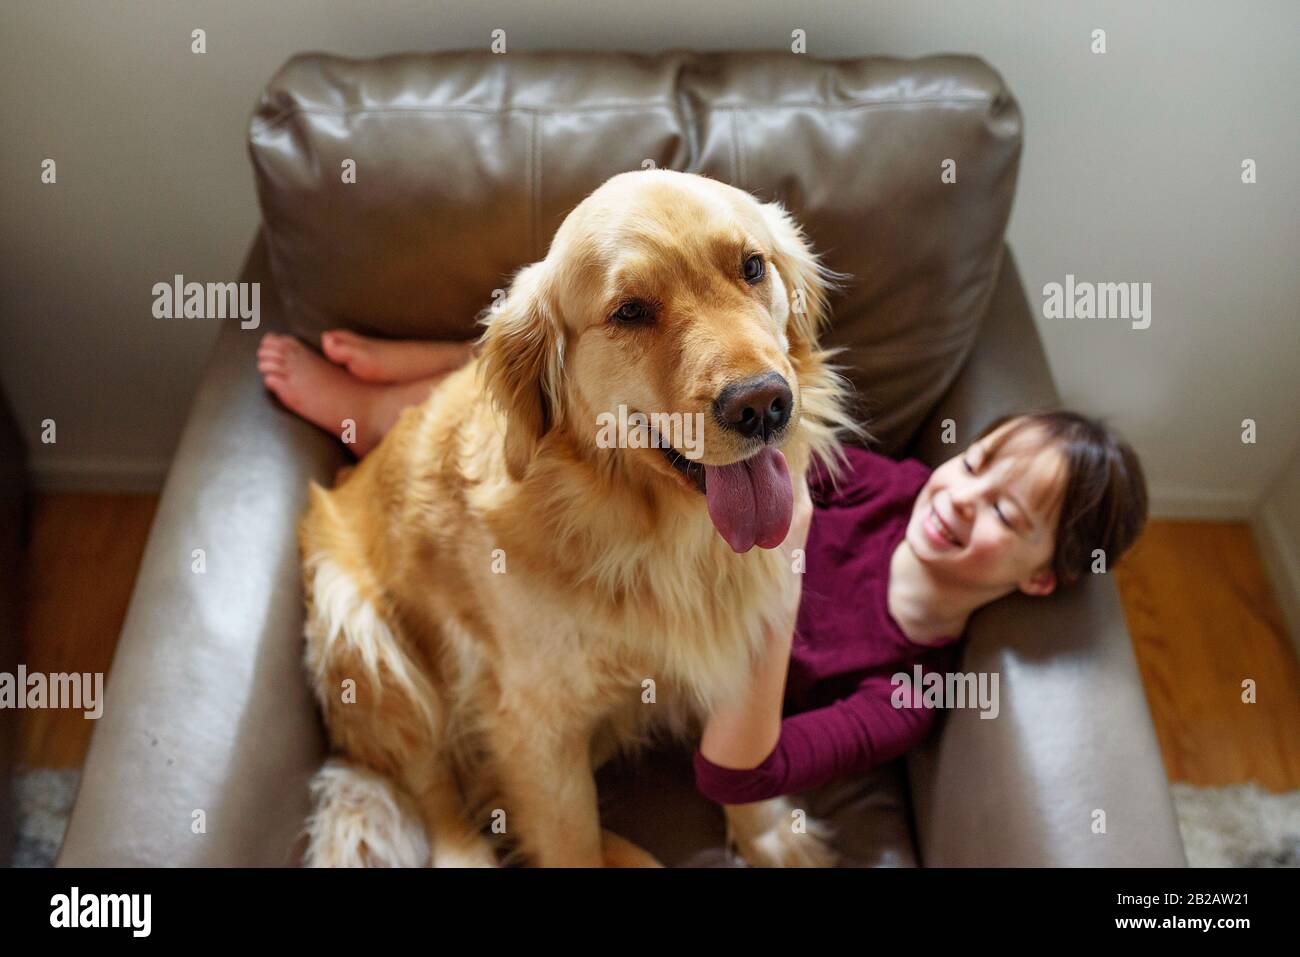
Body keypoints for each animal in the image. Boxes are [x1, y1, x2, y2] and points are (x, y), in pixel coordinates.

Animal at [299, 170, 857, 868]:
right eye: (630, 312)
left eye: (752, 267)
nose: (762, 404)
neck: (657, 535)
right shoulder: (534, 724)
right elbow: (568, 839)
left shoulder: (756, 636)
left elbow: (743, 760)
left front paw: (770, 841)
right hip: (363, 639)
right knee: (436, 790)